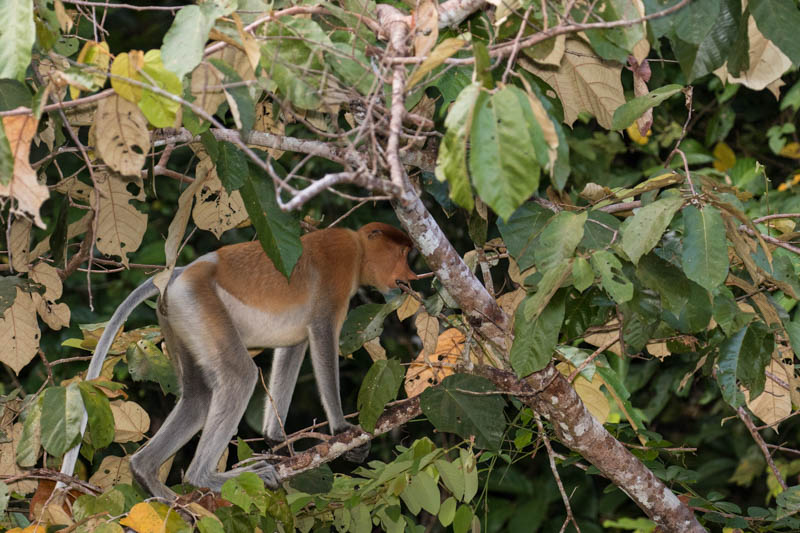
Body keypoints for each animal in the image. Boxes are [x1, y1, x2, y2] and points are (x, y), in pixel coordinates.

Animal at [58, 221, 418, 498]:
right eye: (402, 253)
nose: (411, 275)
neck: (358, 250)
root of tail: (180, 273)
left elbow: (293, 346)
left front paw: (277, 439)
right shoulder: (337, 270)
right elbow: (321, 336)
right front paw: (343, 430)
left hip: (178, 321)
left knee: (199, 397)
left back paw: (151, 478)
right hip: (199, 302)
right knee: (239, 376)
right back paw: (204, 478)